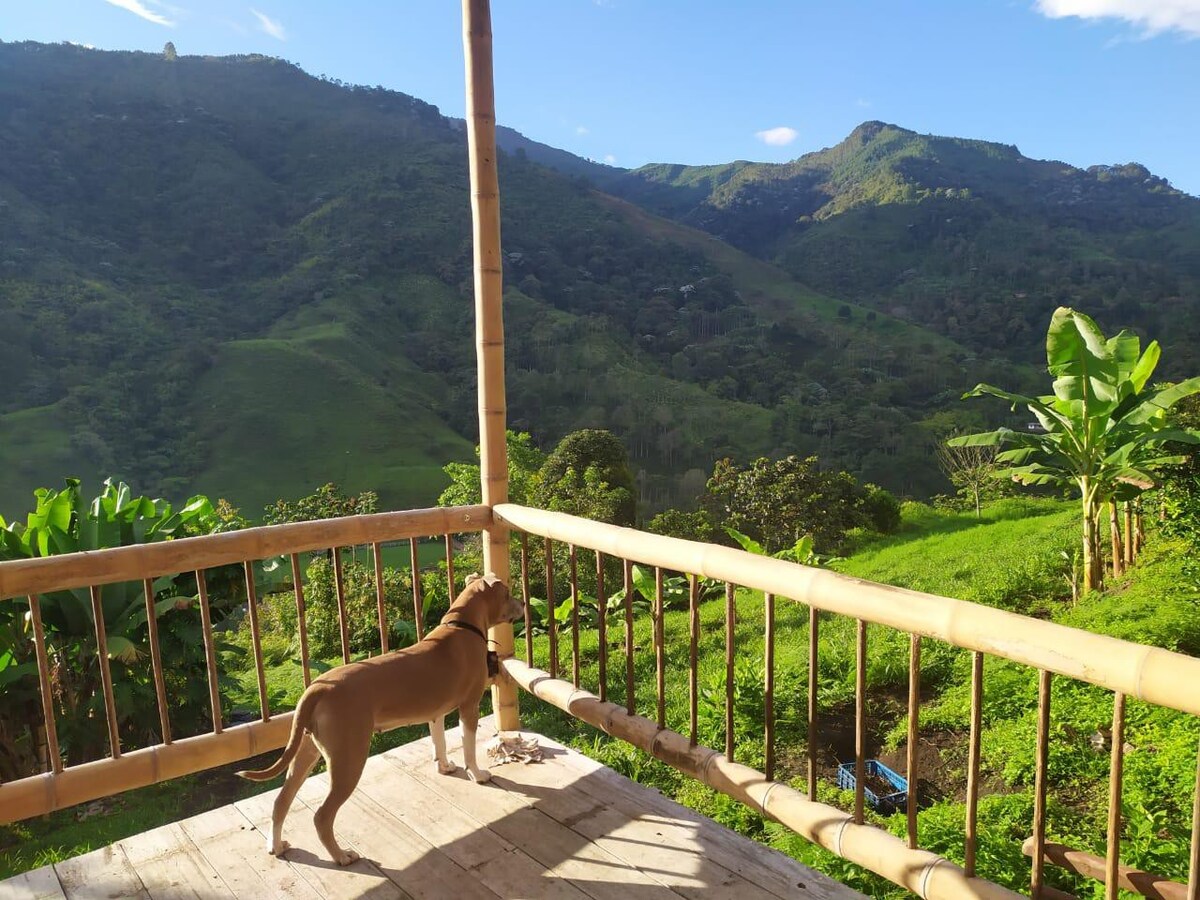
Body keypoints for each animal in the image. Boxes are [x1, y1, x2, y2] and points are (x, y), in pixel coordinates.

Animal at [240, 578, 525, 868]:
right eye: (507, 593)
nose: (524, 603)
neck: (461, 626)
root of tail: (316, 688)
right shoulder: (469, 707)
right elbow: (468, 747)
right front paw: (477, 774)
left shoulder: (436, 713)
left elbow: (440, 742)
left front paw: (444, 766)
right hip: (348, 760)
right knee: (322, 815)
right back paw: (341, 856)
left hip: (305, 751)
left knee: (281, 801)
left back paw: (276, 845)